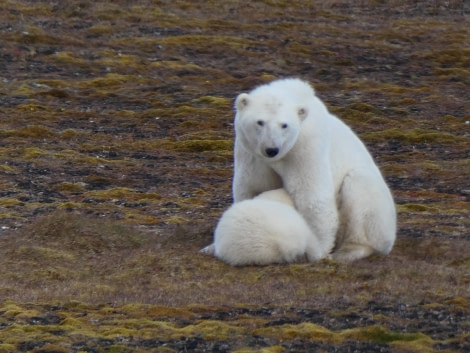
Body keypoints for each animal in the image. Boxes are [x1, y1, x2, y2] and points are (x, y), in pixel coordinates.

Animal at [233, 79, 394, 262]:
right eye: (260, 122)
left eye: (284, 125)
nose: (271, 149)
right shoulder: (250, 154)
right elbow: (252, 186)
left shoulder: (305, 146)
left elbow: (312, 196)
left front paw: (318, 251)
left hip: (379, 213)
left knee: (360, 185)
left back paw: (348, 251)